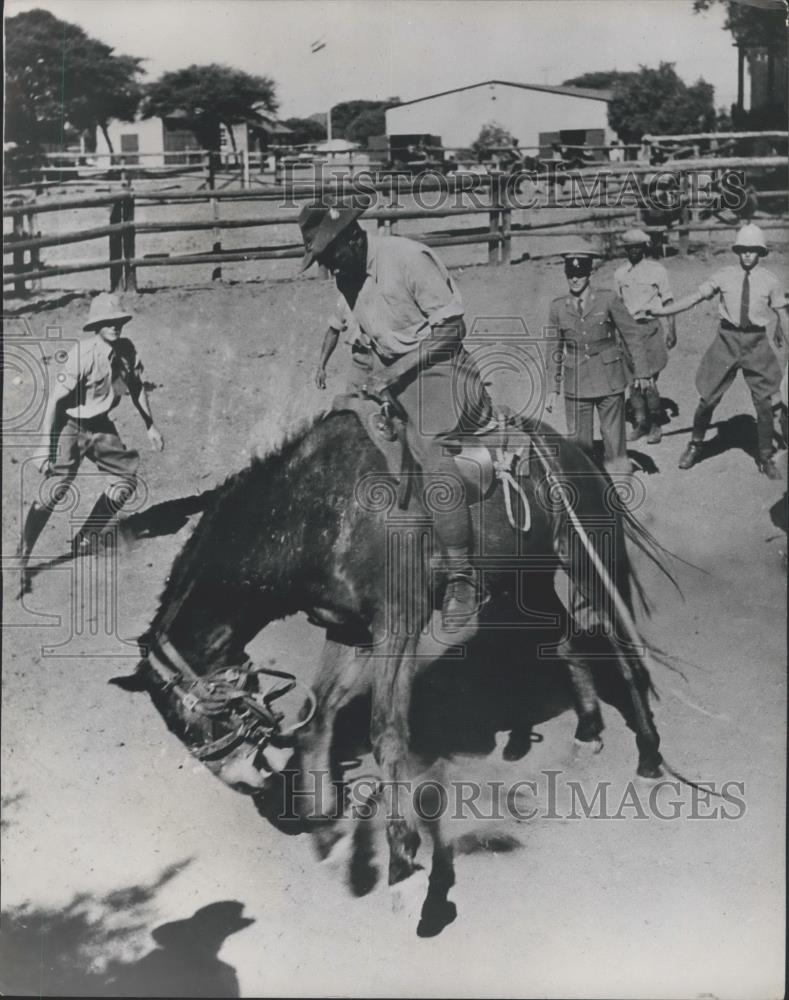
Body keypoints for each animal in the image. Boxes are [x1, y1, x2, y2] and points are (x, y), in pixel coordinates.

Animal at [111, 406, 676, 936]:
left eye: (197, 716)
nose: (244, 779)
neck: (320, 511)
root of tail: (575, 449)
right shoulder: (348, 629)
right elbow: (320, 716)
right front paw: (326, 822)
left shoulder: (396, 626)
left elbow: (387, 735)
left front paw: (404, 865)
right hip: (529, 581)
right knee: (565, 639)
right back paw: (588, 726)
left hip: (588, 558)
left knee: (622, 648)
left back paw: (649, 751)